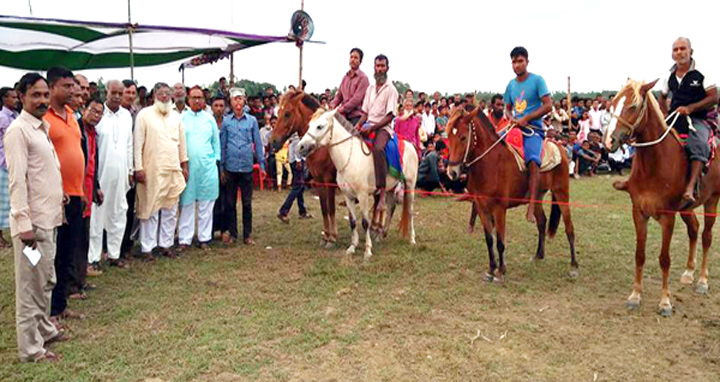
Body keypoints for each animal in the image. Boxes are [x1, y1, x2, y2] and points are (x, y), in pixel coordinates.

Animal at [270, 90, 340, 248]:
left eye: (287, 113)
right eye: (278, 112)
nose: (273, 142)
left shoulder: (329, 181)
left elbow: (331, 208)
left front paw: (332, 238)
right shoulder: (319, 181)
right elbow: (324, 208)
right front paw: (326, 236)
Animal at [298, 109, 420, 262]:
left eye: (320, 126)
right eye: (309, 125)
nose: (301, 146)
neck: (350, 158)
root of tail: (411, 146)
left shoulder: (362, 196)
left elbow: (365, 222)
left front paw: (367, 250)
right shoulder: (348, 196)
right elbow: (353, 222)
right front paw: (352, 247)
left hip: (410, 185)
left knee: (410, 211)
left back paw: (412, 239)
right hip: (390, 187)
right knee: (390, 208)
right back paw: (382, 234)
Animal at [444, 106, 580, 282]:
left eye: (463, 137)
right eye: (448, 136)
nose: (452, 172)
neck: (490, 163)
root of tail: (560, 147)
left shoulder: (499, 209)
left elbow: (500, 241)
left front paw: (501, 271)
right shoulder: (481, 207)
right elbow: (489, 240)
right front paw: (491, 269)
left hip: (561, 192)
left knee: (569, 228)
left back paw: (574, 264)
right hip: (537, 196)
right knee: (542, 222)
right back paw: (539, 255)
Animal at [600, 78, 720, 316]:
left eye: (634, 106)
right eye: (613, 104)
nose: (609, 141)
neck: (654, 165)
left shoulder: (667, 217)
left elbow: (664, 259)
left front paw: (665, 302)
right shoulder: (638, 213)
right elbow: (640, 254)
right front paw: (635, 296)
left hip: (712, 200)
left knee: (706, 236)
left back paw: (702, 281)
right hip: (687, 208)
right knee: (694, 230)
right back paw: (688, 273)